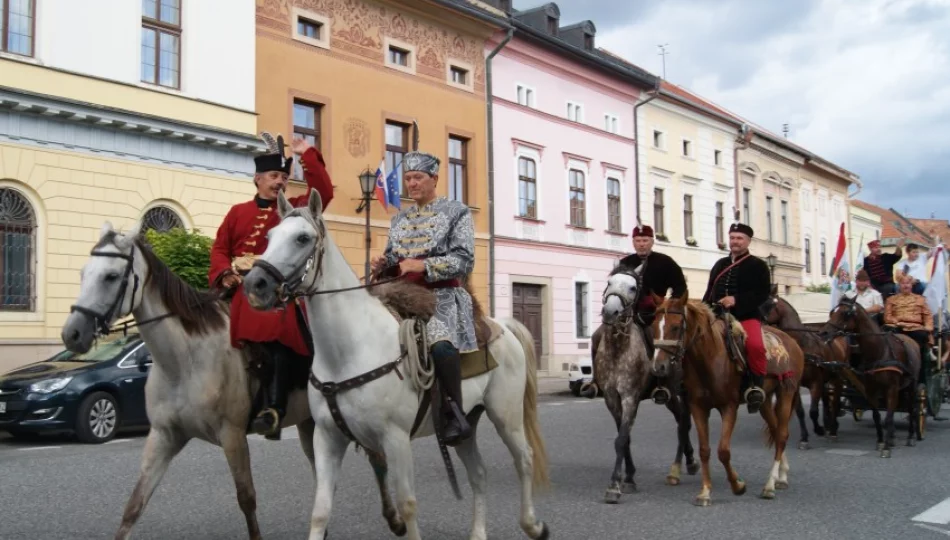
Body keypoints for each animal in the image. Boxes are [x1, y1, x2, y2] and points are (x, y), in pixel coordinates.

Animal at [58, 219, 410, 540]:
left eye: (111, 276)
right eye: (82, 273)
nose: (72, 334)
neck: (184, 361)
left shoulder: (233, 435)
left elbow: (247, 499)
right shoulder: (163, 436)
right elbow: (134, 506)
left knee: (377, 458)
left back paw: (395, 520)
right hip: (312, 425)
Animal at [242, 190, 552, 540]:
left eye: (302, 238)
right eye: (269, 236)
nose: (254, 284)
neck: (349, 351)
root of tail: (501, 326)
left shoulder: (396, 439)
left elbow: (407, 504)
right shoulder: (327, 438)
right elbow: (320, 510)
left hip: (506, 417)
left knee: (524, 460)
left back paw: (533, 525)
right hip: (468, 425)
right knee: (479, 473)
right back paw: (478, 532)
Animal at [656, 292, 804, 506]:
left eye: (675, 327)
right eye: (655, 325)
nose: (659, 367)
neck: (710, 359)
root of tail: (792, 341)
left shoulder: (729, 407)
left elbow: (723, 451)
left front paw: (738, 485)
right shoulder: (698, 407)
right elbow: (704, 450)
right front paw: (705, 492)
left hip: (786, 392)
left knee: (783, 435)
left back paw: (769, 485)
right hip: (765, 401)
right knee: (776, 431)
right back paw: (781, 477)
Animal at [764, 288, 852, 446]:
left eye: (769, 306)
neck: (803, 346)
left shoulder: (816, 382)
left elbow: (813, 411)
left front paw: (819, 429)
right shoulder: (797, 384)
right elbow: (800, 411)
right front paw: (804, 437)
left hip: (837, 377)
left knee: (835, 400)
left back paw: (833, 428)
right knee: (826, 399)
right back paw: (828, 423)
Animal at [820, 296, 924, 456]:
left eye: (845, 313)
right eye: (832, 312)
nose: (824, 333)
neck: (880, 351)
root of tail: (910, 340)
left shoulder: (891, 388)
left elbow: (888, 417)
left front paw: (886, 447)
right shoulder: (871, 389)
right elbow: (877, 416)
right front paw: (881, 441)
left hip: (912, 385)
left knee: (912, 408)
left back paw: (910, 436)